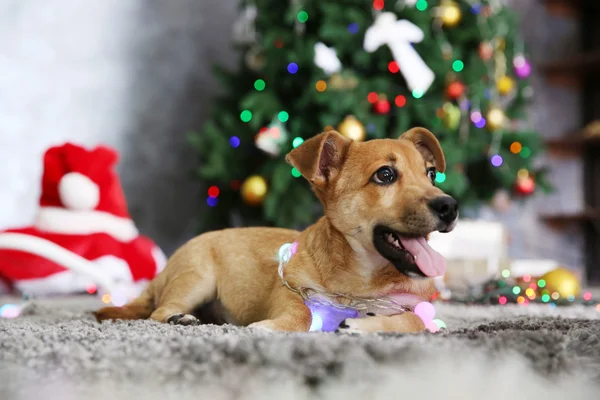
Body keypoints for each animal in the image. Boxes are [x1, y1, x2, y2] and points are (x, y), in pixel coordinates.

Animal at [96, 128, 458, 334]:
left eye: (430, 174)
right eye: (385, 175)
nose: (450, 206)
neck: (361, 282)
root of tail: (164, 272)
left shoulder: (418, 308)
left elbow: (418, 322)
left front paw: (364, 325)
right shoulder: (291, 292)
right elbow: (301, 316)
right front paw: (268, 328)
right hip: (197, 278)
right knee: (158, 311)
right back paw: (181, 318)